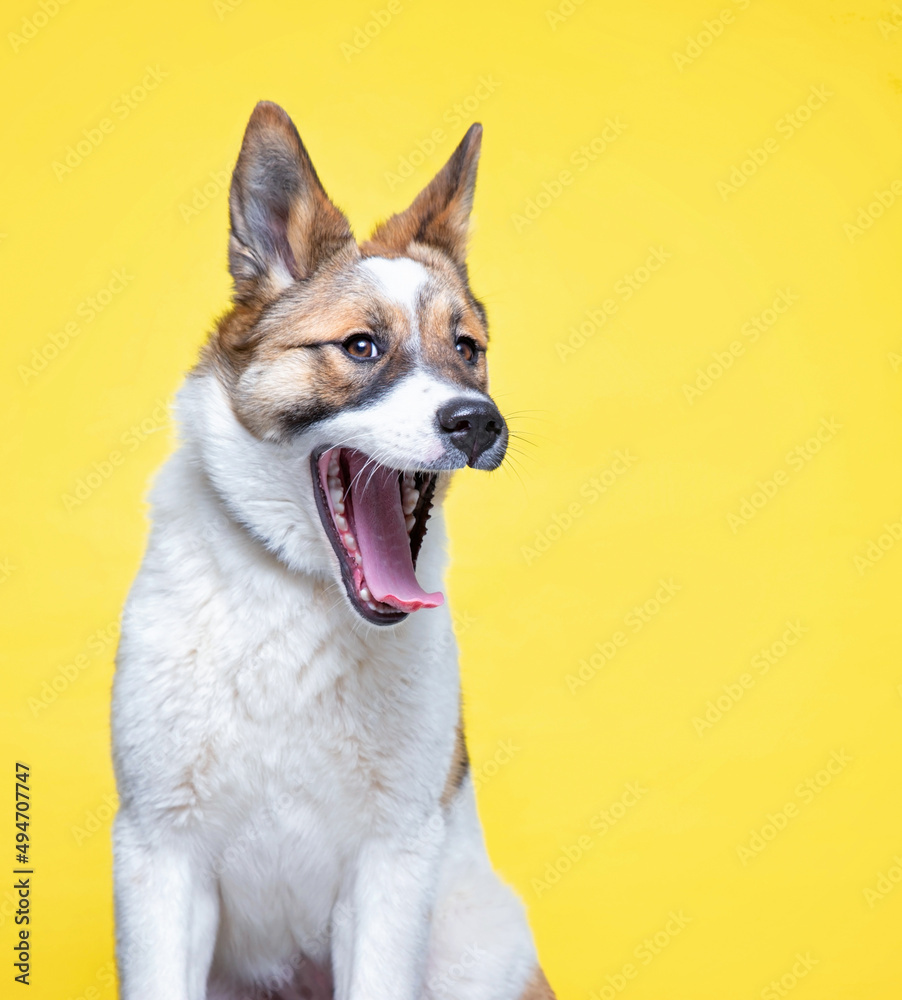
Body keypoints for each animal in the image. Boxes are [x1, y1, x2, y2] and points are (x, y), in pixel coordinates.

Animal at [109, 101, 556, 1000]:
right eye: (360, 347)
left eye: (468, 348)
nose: (478, 422)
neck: (300, 601)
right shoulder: (157, 857)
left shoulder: (390, 867)